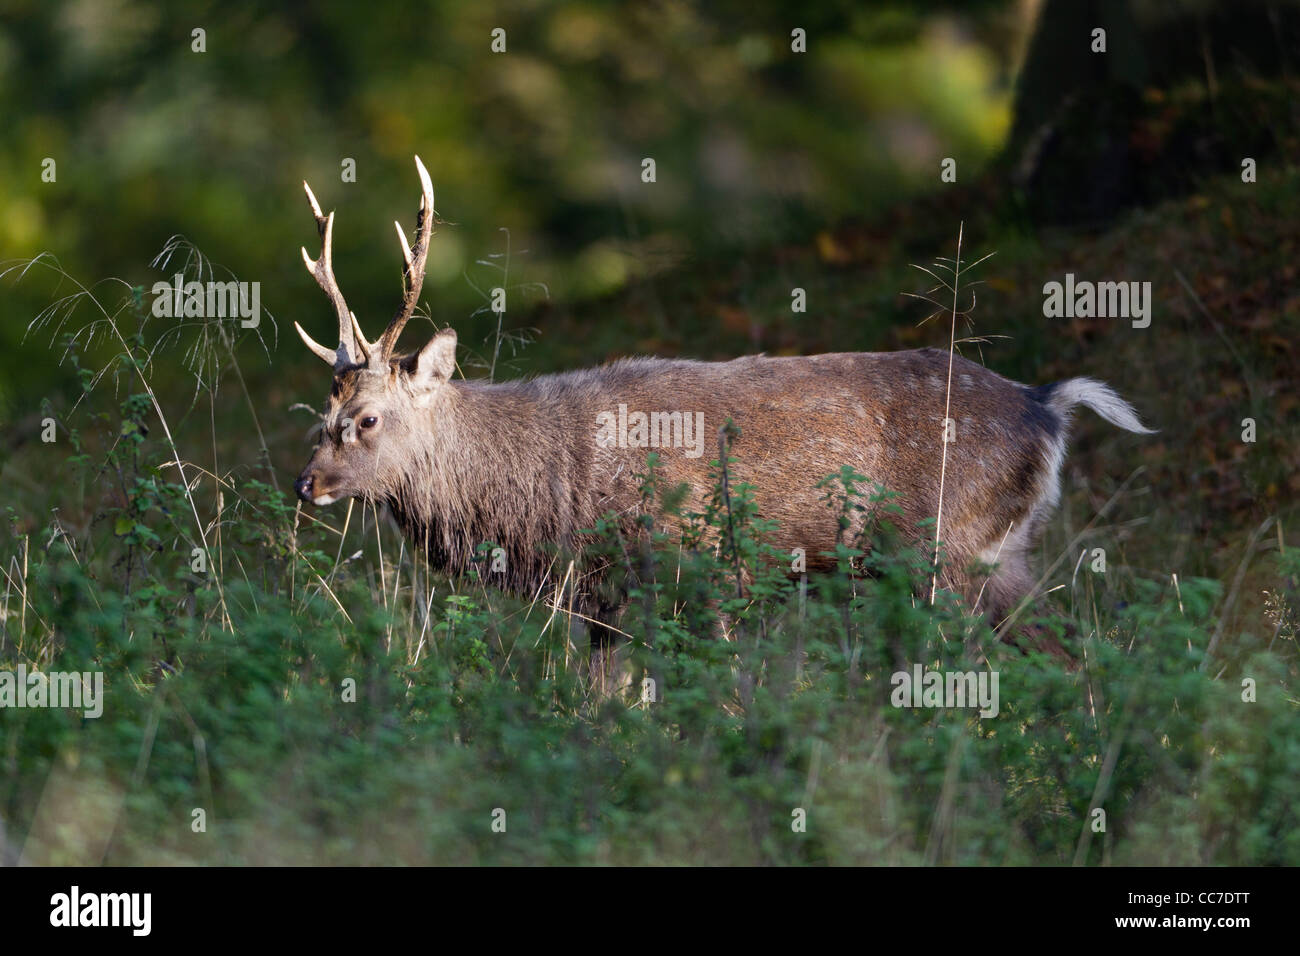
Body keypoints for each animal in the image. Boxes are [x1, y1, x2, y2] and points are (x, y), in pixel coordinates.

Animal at [292, 156, 1154, 680]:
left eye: (366, 418)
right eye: (322, 408)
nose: (307, 484)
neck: (551, 495)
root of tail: (1048, 406)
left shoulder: (702, 567)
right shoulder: (605, 601)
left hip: (944, 549)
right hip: (995, 557)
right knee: (1071, 653)